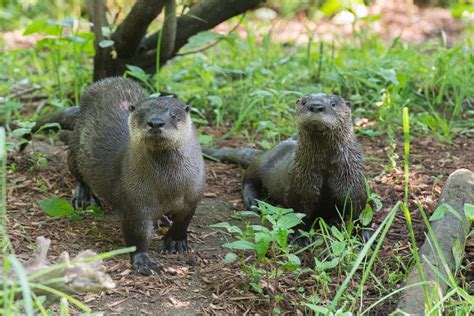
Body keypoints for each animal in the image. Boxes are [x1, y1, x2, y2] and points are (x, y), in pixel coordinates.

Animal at [25, 77, 205, 274]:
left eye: (173, 114)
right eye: (142, 114)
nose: (156, 122)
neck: (168, 187)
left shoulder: (193, 195)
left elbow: (183, 221)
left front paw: (176, 242)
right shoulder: (135, 201)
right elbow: (136, 234)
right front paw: (143, 260)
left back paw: (164, 219)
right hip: (76, 147)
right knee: (78, 173)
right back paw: (83, 198)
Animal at [204, 94, 366, 242]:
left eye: (333, 103)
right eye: (304, 101)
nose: (315, 106)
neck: (325, 171)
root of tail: (266, 151)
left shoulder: (355, 184)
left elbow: (361, 213)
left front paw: (366, 236)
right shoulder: (300, 189)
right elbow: (300, 215)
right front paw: (302, 237)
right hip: (260, 164)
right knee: (248, 180)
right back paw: (254, 202)